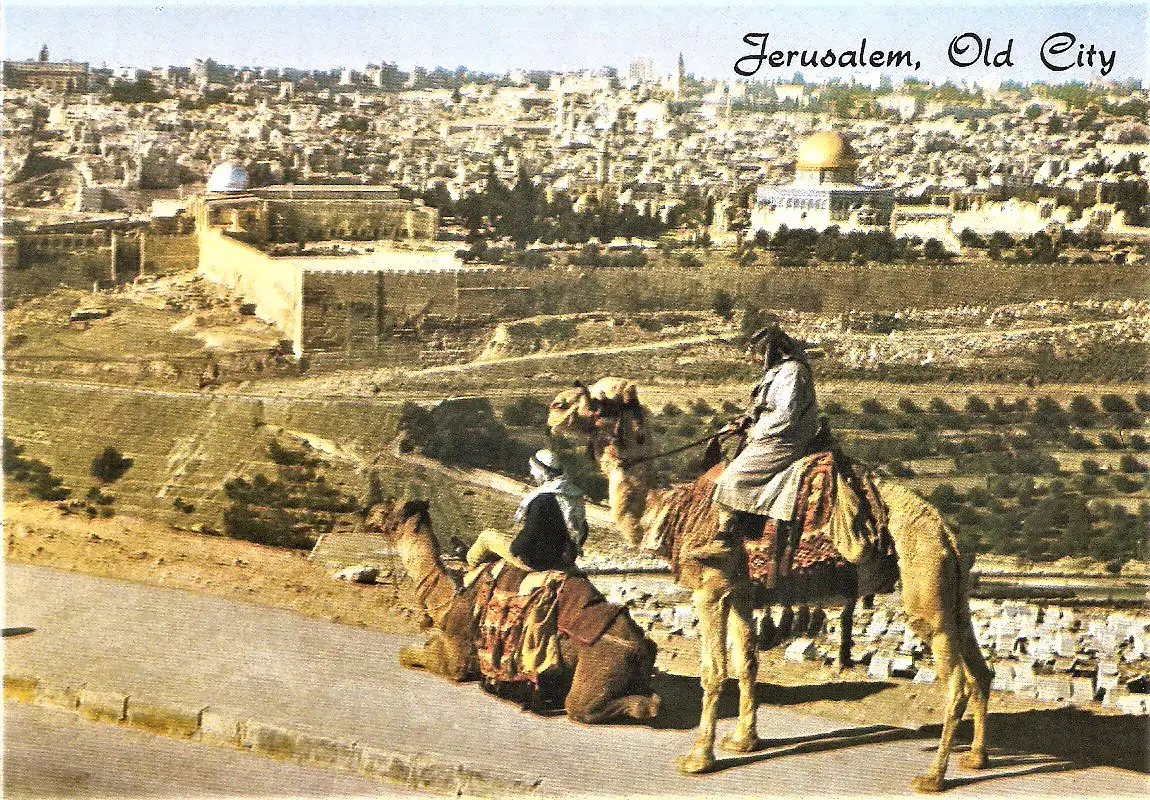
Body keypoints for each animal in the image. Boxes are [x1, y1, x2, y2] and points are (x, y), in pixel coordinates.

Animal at [363, 496, 662, 721]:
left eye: (389, 509)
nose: (369, 513)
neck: (454, 591)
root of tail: (643, 647)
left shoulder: (458, 656)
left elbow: (409, 655)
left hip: (600, 666)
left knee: (585, 707)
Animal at [547, 383, 989, 795]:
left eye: (600, 401)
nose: (554, 407)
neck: (673, 510)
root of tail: (948, 533)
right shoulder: (742, 594)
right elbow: (747, 663)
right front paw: (743, 741)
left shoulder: (709, 590)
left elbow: (714, 672)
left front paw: (698, 759)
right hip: (952, 594)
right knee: (980, 671)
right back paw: (975, 758)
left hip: (924, 586)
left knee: (956, 684)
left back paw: (932, 777)